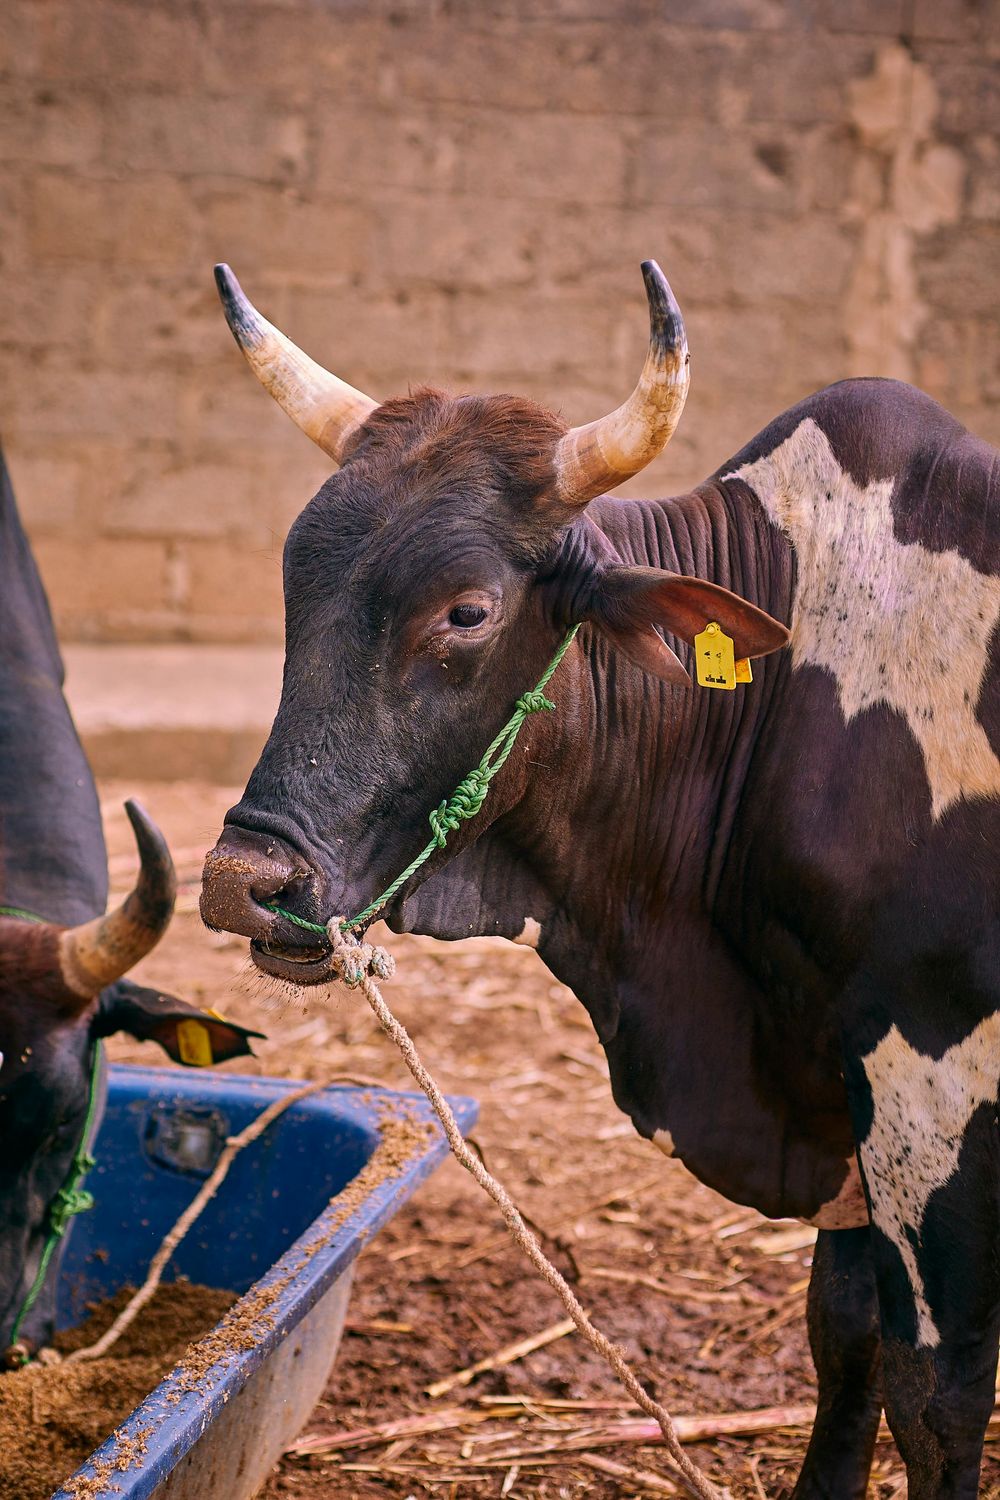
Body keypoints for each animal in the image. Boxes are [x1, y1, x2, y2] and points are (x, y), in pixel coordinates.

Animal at [199, 259, 999, 1498]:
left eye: (466, 610)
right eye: (294, 593)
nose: (243, 878)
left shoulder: (931, 1087)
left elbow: (939, 1402)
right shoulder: (834, 1083)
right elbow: (842, 1332)